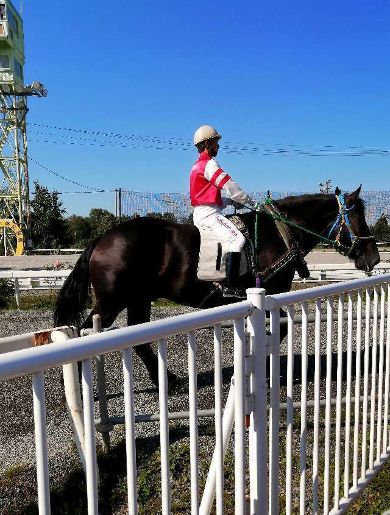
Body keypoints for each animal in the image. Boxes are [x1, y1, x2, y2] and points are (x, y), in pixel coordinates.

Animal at [53, 186, 380, 388]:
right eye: (358, 218)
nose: (375, 257)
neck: (278, 232)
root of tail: (103, 238)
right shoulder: (271, 292)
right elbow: (281, 329)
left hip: (138, 299)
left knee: (140, 340)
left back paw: (167, 380)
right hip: (111, 303)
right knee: (81, 333)